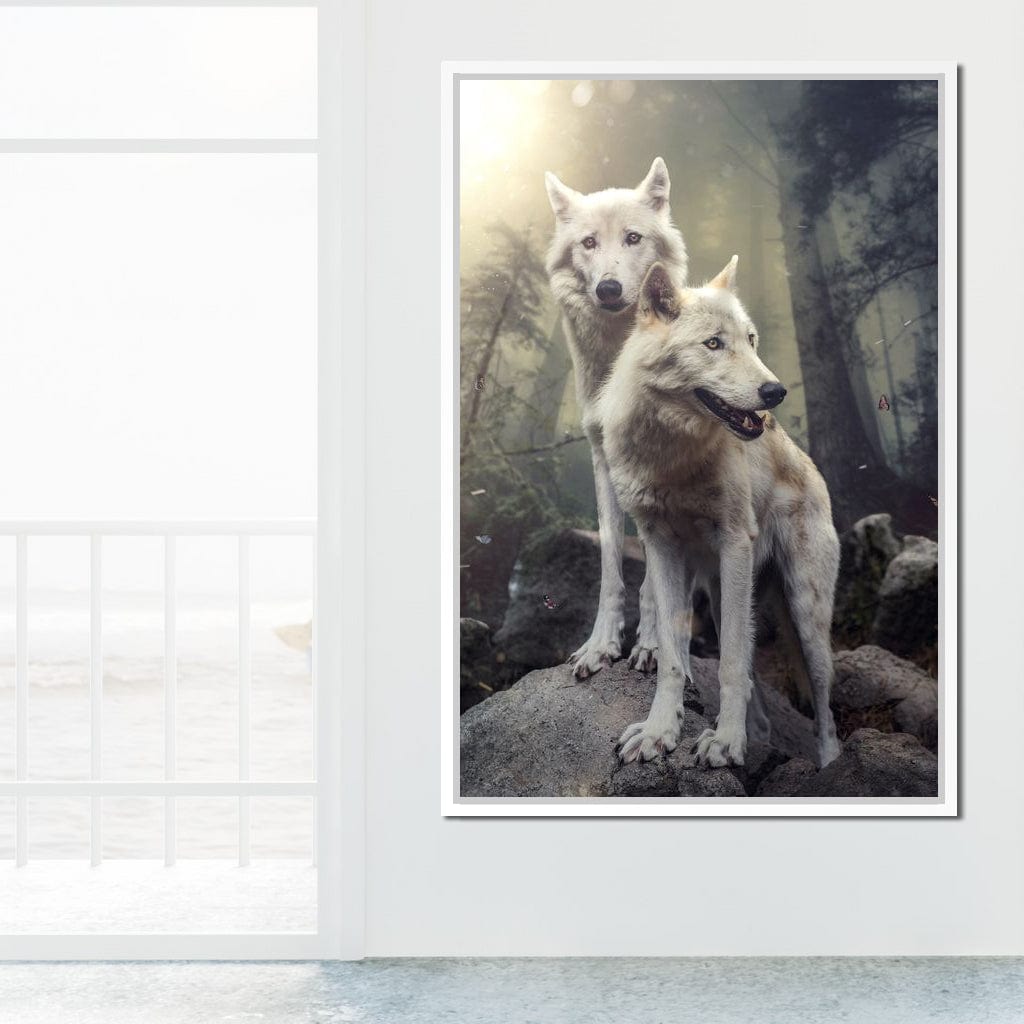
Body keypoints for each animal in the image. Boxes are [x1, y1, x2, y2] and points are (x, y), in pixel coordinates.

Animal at [544, 158, 688, 679]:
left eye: (632, 238)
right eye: (589, 242)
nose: (608, 288)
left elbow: (655, 576)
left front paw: (652, 645)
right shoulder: (603, 460)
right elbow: (610, 564)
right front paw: (599, 645)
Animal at [598, 257, 842, 769]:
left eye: (750, 340)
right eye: (713, 344)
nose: (775, 392)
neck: (672, 456)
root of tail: (811, 466)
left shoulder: (734, 544)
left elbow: (729, 663)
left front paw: (727, 741)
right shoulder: (661, 549)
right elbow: (673, 657)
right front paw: (659, 731)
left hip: (805, 615)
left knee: (824, 706)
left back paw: (830, 764)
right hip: (719, 591)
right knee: (756, 685)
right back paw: (759, 735)